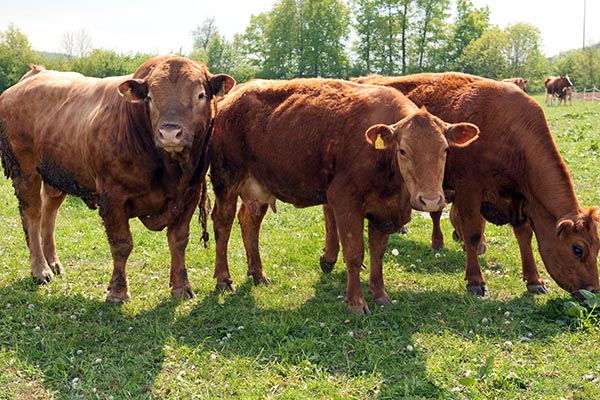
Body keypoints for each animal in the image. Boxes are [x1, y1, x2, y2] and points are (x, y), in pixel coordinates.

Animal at [0, 56, 237, 304]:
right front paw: (118, 292)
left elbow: (178, 240)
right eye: (150, 98)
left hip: (57, 173)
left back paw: (53, 262)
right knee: (32, 216)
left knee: (49, 213)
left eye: (200, 95)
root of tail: (32, 76)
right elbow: (122, 244)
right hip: (25, 172)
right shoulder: (113, 197)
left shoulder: (189, 195)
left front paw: (181, 287)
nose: (170, 133)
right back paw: (40, 269)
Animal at [342, 72, 600, 296]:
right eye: (577, 249)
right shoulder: (470, 190)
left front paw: (534, 280)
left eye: (597, 247)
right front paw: (476, 281)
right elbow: (474, 233)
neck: (511, 133)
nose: (594, 291)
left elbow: (524, 235)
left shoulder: (518, 198)